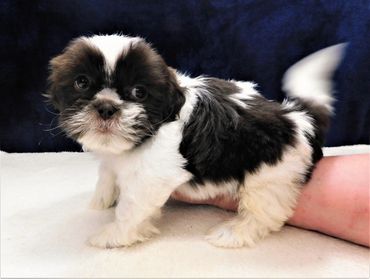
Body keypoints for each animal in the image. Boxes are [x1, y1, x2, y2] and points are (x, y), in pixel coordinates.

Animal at [47, 35, 346, 249]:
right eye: (82, 83)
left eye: (139, 92)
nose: (107, 107)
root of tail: (299, 118)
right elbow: (108, 172)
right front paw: (101, 199)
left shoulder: (152, 176)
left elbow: (131, 206)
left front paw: (114, 235)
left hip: (269, 175)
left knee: (266, 211)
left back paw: (233, 232)